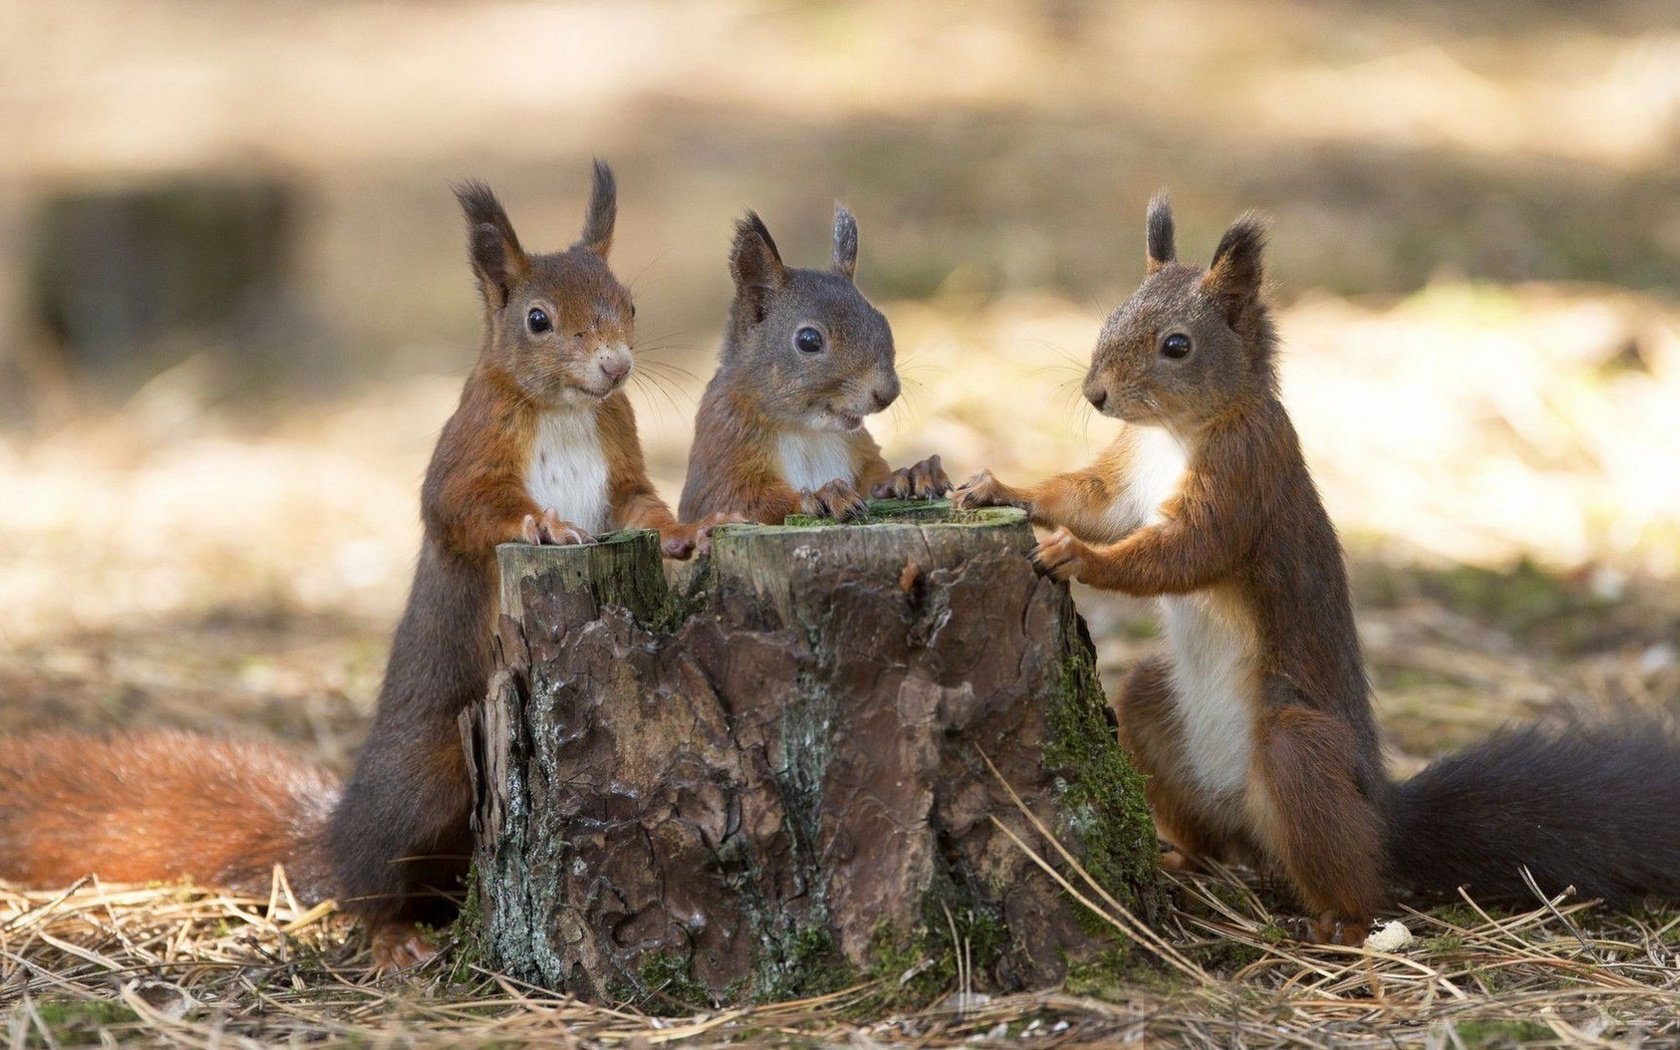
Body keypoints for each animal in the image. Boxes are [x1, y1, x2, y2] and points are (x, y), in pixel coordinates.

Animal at [0, 159, 715, 967]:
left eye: (630, 303)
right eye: (537, 319)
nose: (615, 366)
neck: (564, 410)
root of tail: (334, 831)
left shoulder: (618, 458)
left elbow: (641, 508)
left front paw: (686, 533)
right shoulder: (466, 454)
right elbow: (462, 509)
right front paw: (545, 525)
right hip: (424, 785)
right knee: (367, 886)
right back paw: (394, 937)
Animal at [954, 196, 1680, 940]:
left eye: (1177, 346)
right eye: (1111, 317)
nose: (1095, 394)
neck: (1177, 434)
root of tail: (1383, 815)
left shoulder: (1245, 478)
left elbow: (1186, 551)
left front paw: (1077, 554)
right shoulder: (1126, 475)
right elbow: (1089, 500)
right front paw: (999, 488)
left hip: (1298, 751)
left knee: (1355, 873)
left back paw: (1339, 925)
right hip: (1157, 708)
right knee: (1209, 822)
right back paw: (1185, 861)